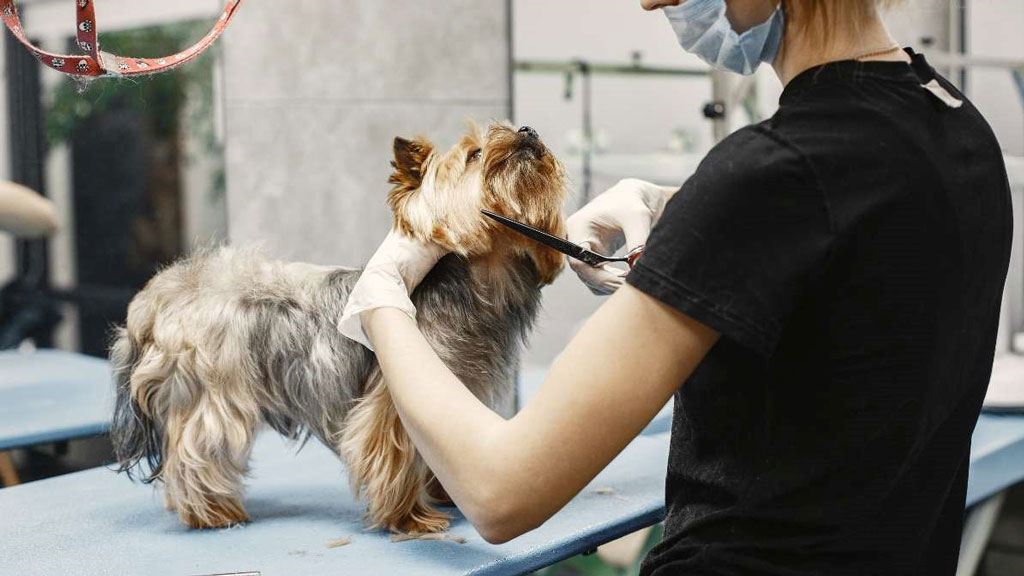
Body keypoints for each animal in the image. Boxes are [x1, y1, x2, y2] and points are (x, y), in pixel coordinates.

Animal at [110, 121, 569, 532]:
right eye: (475, 154)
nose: (527, 130)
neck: (478, 282)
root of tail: (157, 297)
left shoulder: (458, 390)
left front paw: (446, 491)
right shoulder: (393, 402)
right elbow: (395, 451)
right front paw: (409, 519)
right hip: (213, 391)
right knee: (196, 447)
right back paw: (212, 512)